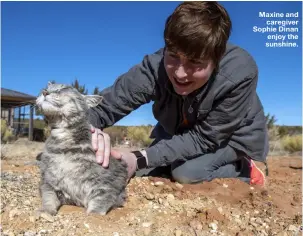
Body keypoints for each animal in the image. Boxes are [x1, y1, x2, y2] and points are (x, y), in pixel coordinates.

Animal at [35, 82, 128, 216]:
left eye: (63, 89)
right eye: (45, 88)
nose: (44, 92)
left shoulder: (106, 184)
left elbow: (100, 201)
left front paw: (93, 215)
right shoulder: (49, 182)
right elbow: (48, 198)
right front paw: (46, 211)